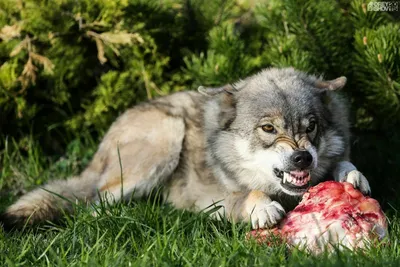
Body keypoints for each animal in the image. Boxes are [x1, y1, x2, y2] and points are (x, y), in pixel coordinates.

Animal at [0, 68, 370, 230]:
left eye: (311, 126)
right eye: (268, 129)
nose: (302, 157)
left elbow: (343, 163)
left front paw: (351, 175)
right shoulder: (212, 199)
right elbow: (246, 193)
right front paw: (261, 206)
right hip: (166, 138)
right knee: (94, 203)